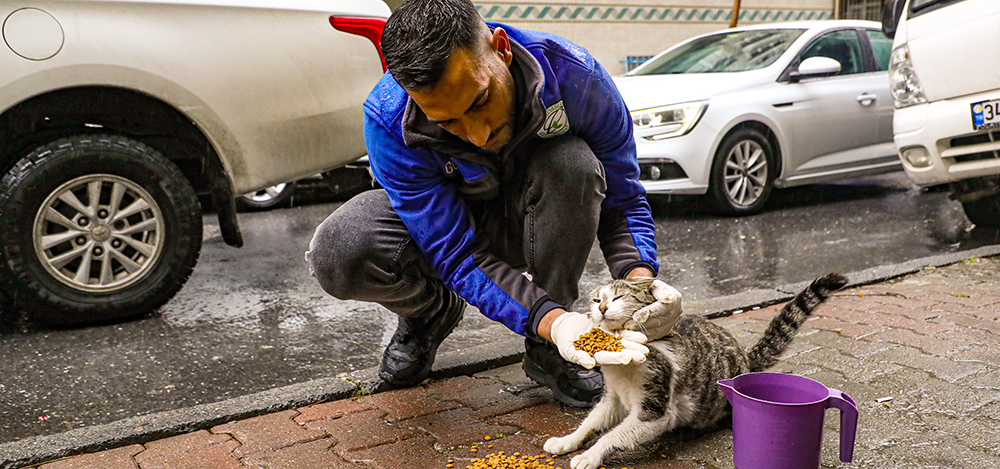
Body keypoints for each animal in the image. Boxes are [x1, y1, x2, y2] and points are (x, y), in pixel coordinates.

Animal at [544, 270, 848, 468]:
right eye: (597, 301)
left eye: (618, 298)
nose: (603, 308)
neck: (623, 371)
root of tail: (745, 356)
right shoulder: (613, 398)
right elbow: (591, 422)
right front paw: (567, 441)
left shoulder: (654, 412)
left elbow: (614, 435)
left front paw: (590, 455)